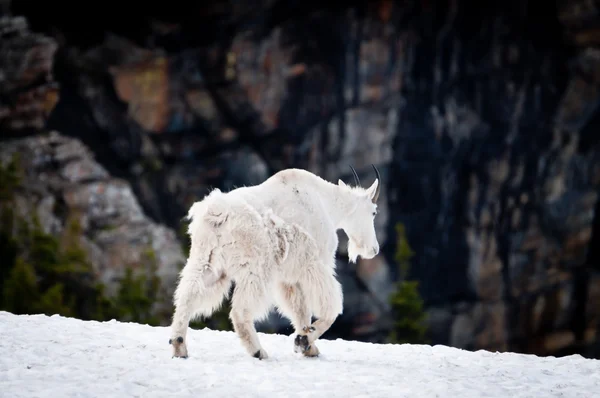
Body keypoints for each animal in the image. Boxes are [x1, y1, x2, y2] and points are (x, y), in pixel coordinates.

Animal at [168, 166, 380, 360]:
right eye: (374, 212)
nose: (374, 249)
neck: (327, 203)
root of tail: (218, 214)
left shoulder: (288, 277)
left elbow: (300, 309)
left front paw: (307, 346)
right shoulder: (314, 263)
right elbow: (329, 307)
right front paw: (306, 340)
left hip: (207, 263)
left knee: (187, 297)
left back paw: (179, 346)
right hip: (256, 268)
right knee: (240, 311)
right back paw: (258, 351)